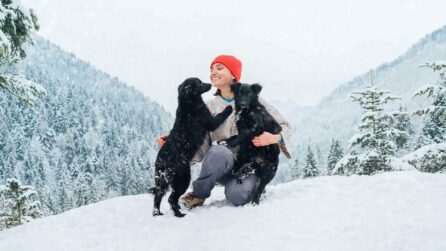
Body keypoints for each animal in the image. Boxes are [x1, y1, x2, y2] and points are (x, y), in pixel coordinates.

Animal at [150, 77, 233, 217]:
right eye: (200, 83)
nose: (210, 84)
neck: (188, 103)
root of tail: (161, 162)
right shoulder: (210, 121)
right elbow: (220, 116)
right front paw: (229, 108)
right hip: (182, 178)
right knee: (171, 198)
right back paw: (179, 214)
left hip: (162, 181)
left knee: (158, 195)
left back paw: (157, 213)